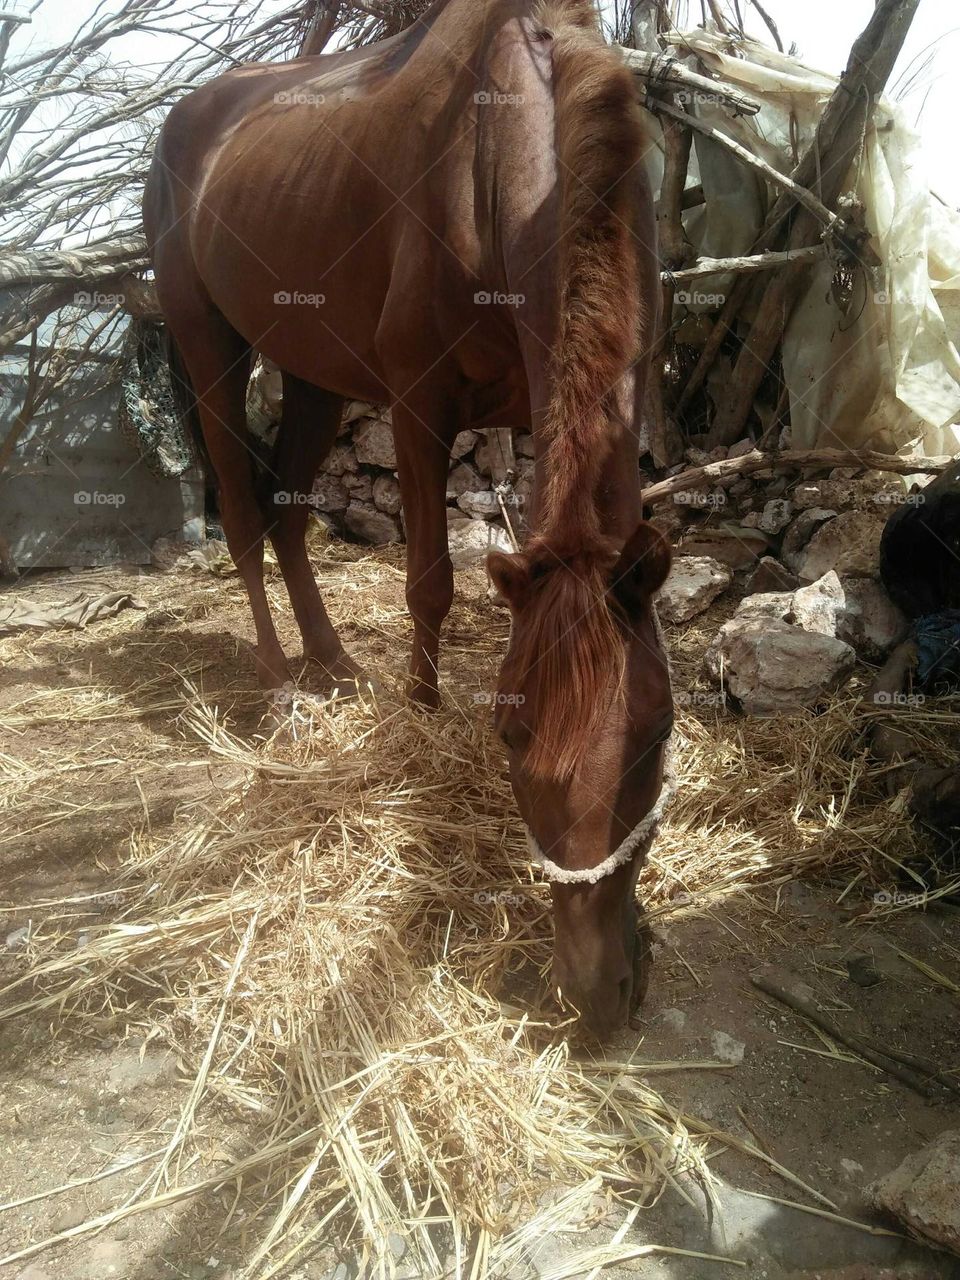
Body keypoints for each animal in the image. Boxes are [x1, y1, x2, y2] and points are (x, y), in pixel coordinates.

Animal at [143, 0, 674, 1037]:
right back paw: (282, 683)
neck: (496, 152)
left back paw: (335, 661)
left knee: (287, 520)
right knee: (242, 515)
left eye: (657, 736)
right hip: (211, 346)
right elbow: (429, 583)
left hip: (310, 372)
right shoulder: (420, 404)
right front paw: (421, 725)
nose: (596, 995)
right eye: (509, 738)